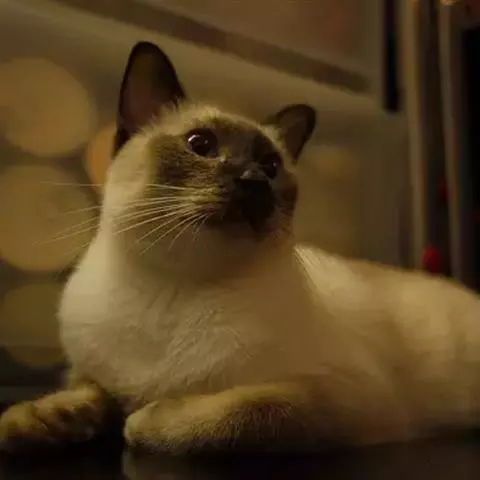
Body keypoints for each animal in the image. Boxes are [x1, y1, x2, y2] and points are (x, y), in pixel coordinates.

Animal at [1, 41, 480, 454]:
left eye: (271, 165)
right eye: (200, 145)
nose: (253, 182)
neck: (173, 285)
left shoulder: (339, 395)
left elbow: (243, 413)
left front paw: (142, 420)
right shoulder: (88, 372)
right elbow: (81, 394)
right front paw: (26, 423)